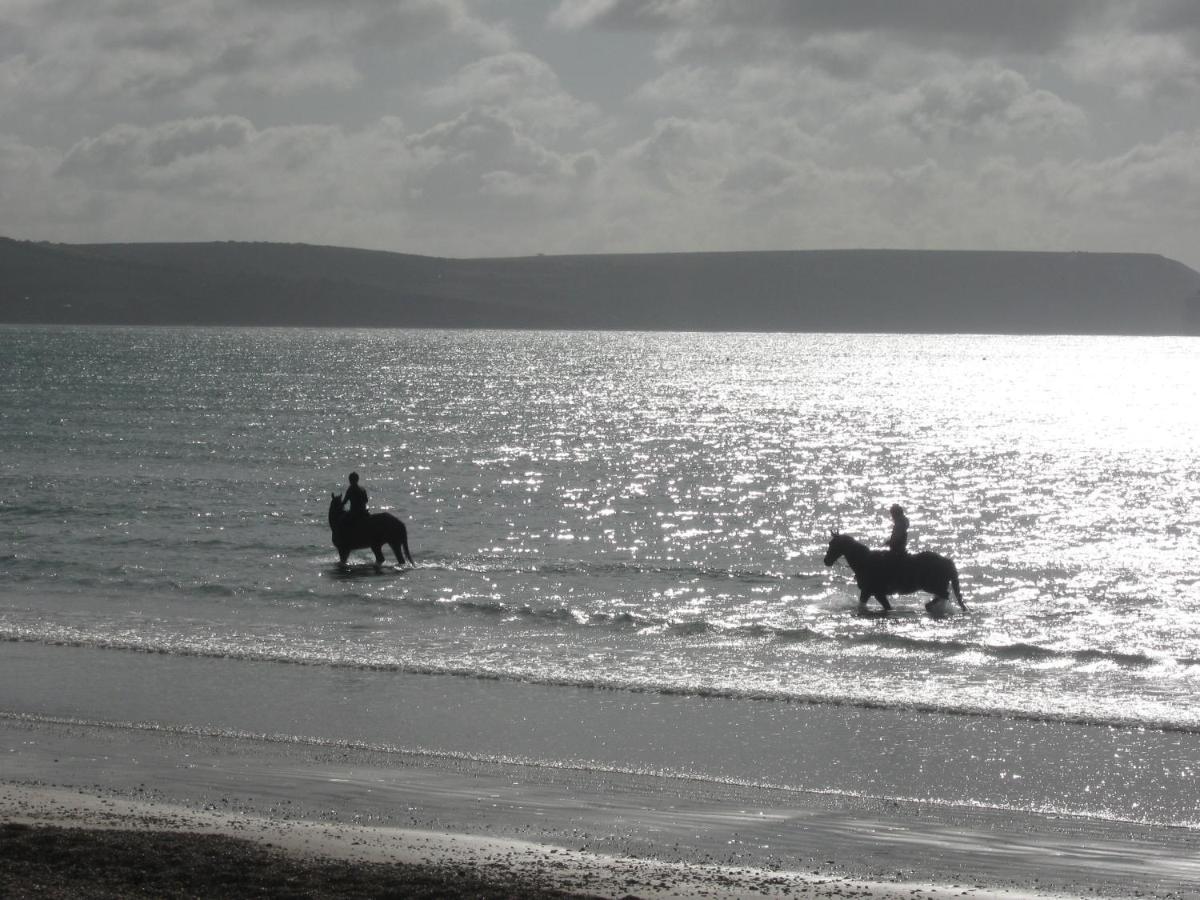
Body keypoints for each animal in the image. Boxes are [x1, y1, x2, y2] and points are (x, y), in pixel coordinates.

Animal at [825, 535, 964, 614]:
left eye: (833, 544)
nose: (826, 561)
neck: (865, 561)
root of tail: (946, 561)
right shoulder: (877, 594)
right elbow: (887, 607)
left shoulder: (869, 592)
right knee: (943, 595)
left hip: (932, 585)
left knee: (944, 595)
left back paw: (929, 606)